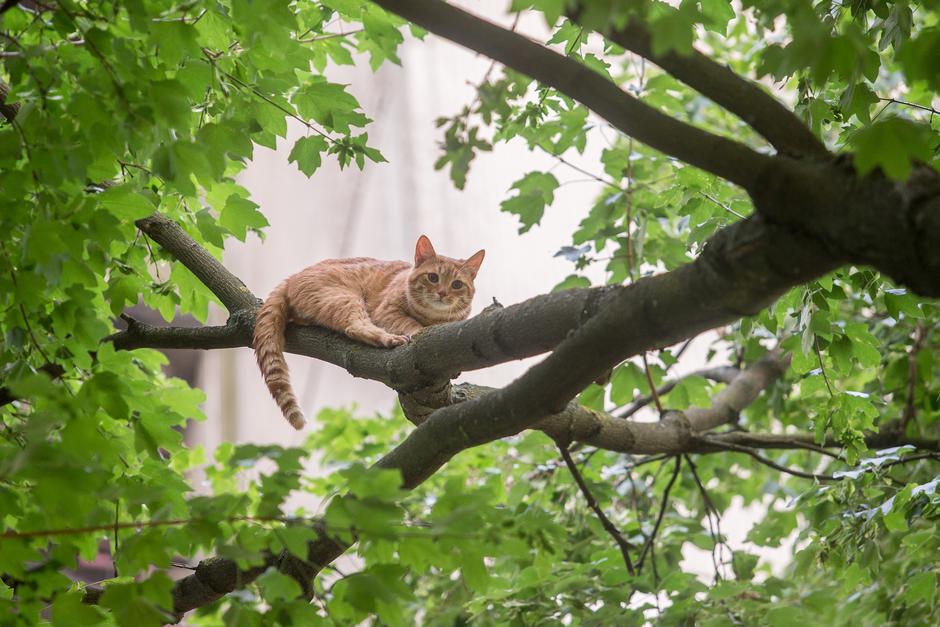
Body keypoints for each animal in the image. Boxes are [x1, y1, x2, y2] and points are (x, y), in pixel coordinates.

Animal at [253, 237, 484, 432]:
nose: (443, 293)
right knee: (355, 327)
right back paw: (389, 339)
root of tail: (291, 278)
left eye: (457, 284)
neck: (435, 318)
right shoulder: (386, 312)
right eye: (433, 277)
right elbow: (411, 324)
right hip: (345, 298)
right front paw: (419, 330)